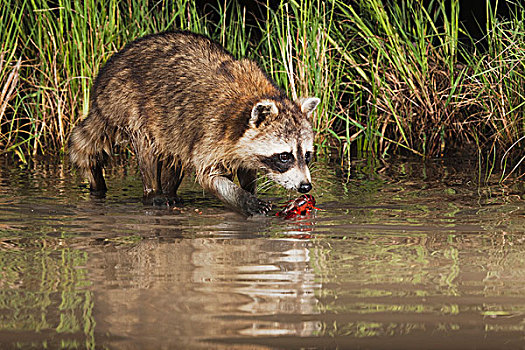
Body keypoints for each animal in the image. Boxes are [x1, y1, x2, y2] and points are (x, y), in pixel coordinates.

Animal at [67, 30, 318, 216]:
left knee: (174, 157)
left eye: (306, 155)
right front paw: (243, 199)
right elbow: (208, 176)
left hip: (172, 126)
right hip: (128, 101)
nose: (305, 186)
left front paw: (250, 190)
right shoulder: (213, 130)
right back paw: (153, 193)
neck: (256, 96)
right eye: (284, 156)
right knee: (147, 147)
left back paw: (169, 192)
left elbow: (246, 169)